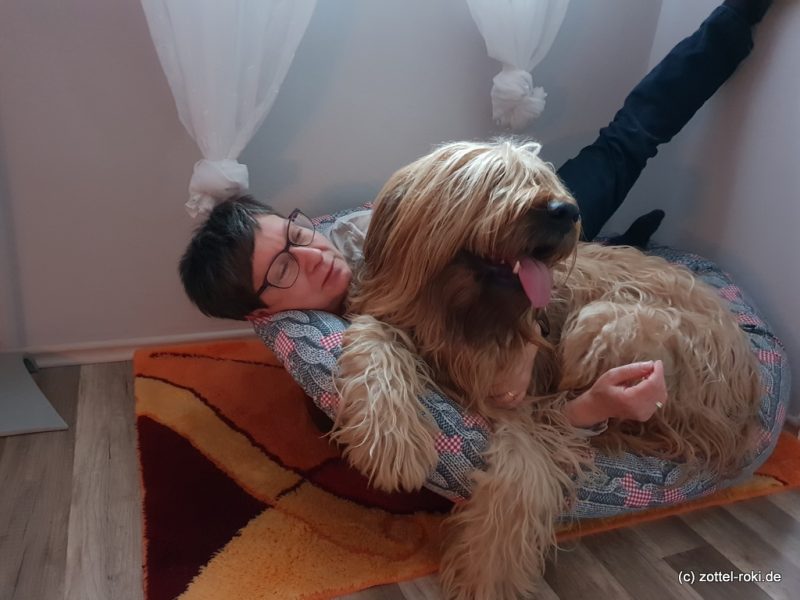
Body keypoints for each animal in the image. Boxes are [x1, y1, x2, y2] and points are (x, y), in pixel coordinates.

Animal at [332, 139, 762, 599]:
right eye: (497, 180)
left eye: (543, 179)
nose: (567, 211)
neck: (461, 320)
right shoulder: (393, 317)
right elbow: (375, 337)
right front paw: (389, 438)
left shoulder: (521, 403)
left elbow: (520, 478)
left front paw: (489, 574)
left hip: (609, 327)